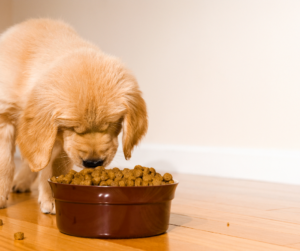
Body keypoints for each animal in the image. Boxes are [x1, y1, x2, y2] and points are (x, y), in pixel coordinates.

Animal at [0, 18, 148, 213]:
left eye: (111, 124)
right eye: (72, 128)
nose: (93, 163)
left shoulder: (58, 141)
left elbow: (54, 165)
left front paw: (52, 197)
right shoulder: (5, 116)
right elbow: (5, 162)